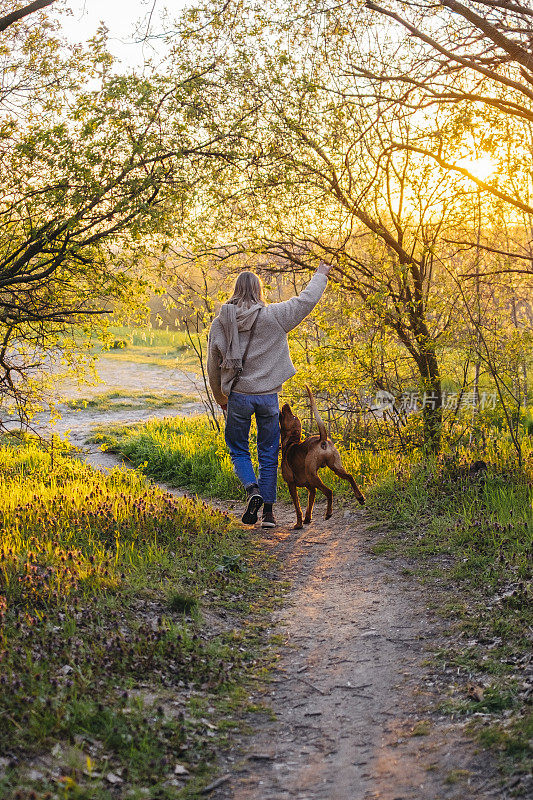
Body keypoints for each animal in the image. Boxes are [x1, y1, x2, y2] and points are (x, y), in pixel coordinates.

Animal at [278, 388, 366, 532]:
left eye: (293, 416)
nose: (286, 404)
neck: (291, 442)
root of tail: (322, 439)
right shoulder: (311, 488)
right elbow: (309, 505)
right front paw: (307, 519)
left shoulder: (291, 485)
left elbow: (297, 508)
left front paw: (299, 524)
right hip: (335, 467)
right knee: (349, 476)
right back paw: (360, 497)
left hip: (313, 476)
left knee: (329, 492)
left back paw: (328, 513)